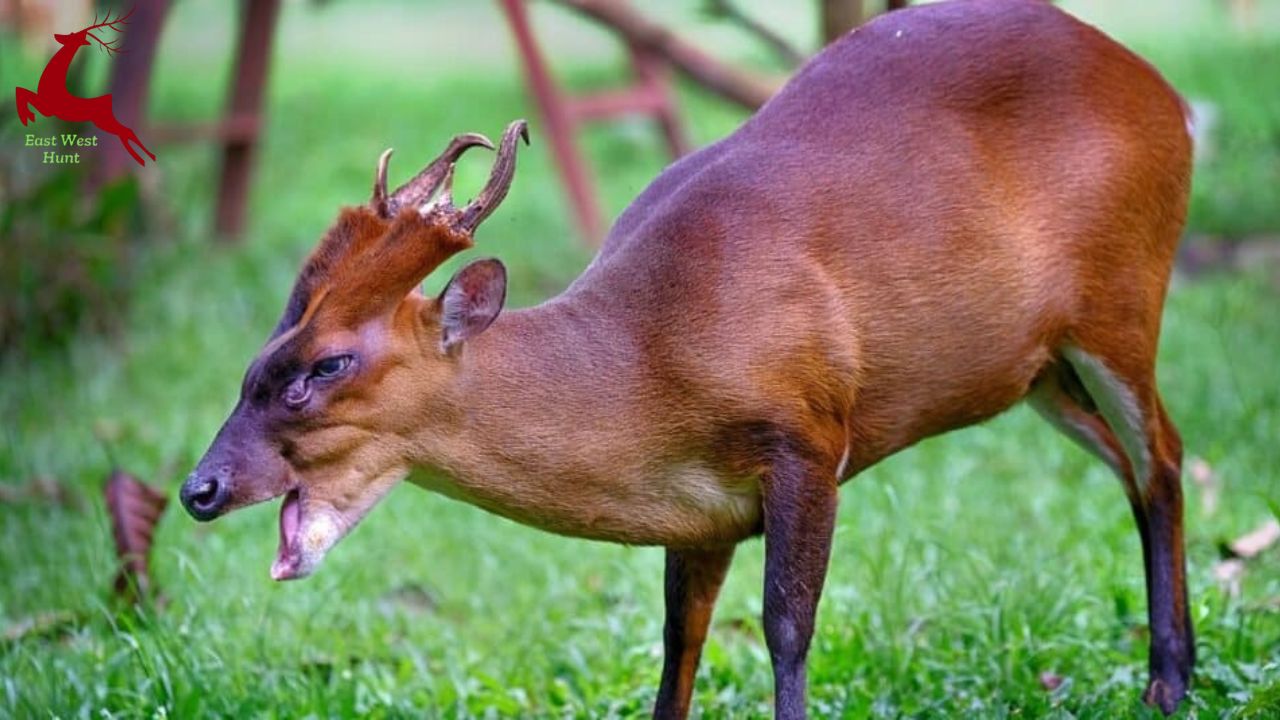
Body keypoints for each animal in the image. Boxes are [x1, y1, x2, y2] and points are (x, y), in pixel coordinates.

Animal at [185, 2, 1192, 712]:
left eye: (328, 365)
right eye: (260, 358)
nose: (201, 488)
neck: (648, 355)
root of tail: (1170, 99)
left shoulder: (809, 435)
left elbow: (786, 628)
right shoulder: (698, 510)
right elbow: (680, 645)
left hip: (1122, 301)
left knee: (1165, 454)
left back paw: (1170, 681)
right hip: (1038, 371)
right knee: (1133, 464)